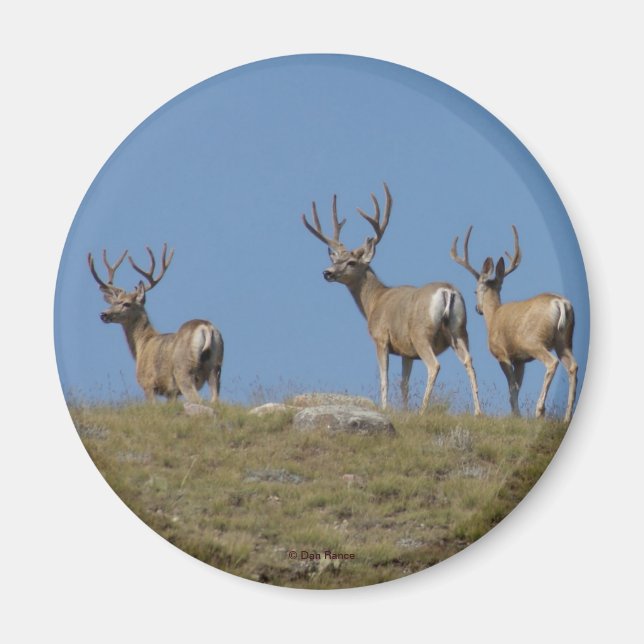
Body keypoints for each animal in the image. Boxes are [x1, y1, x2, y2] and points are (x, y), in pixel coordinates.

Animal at [87, 244, 223, 404]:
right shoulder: (171, 392)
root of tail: (205, 327)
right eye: (114, 302)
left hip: (184, 370)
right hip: (216, 368)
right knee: (215, 400)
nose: (103, 314)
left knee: (197, 399)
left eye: (126, 303)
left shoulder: (148, 383)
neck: (142, 344)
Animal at [301, 183, 482, 415]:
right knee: (469, 361)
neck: (374, 301)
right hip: (459, 330)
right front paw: (403, 410)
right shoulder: (406, 351)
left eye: (351, 262)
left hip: (421, 333)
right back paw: (478, 411)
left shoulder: (381, 338)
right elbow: (404, 383)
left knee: (434, 366)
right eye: (335, 259)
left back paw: (423, 410)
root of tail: (447, 291)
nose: (327, 272)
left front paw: (386, 407)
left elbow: (384, 378)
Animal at [450, 225, 577, 423]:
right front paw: (516, 414)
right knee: (573, 366)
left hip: (534, 341)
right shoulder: (520, 359)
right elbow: (517, 386)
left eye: (475, 291)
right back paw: (567, 417)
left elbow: (512, 387)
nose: (478, 309)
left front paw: (516, 415)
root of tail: (560, 303)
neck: (493, 317)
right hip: (564, 341)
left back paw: (540, 410)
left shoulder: (501, 354)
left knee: (552, 363)